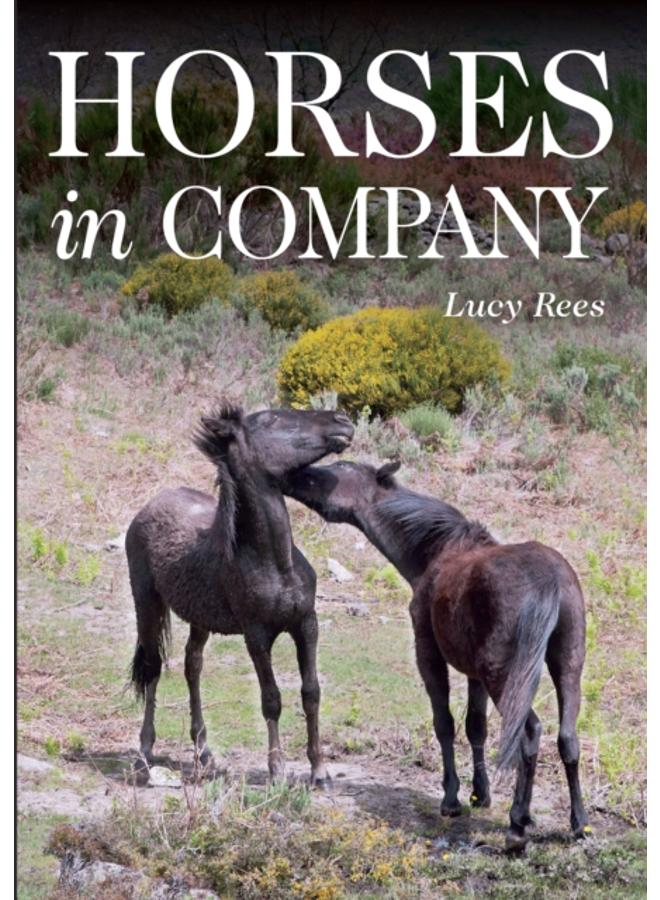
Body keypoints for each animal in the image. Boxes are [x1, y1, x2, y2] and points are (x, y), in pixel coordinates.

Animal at [126, 404, 354, 786]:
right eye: (273, 419)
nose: (343, 421)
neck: (275, 562)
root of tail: (151, 504)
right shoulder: (256, 636)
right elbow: (271, 698)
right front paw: (277, 770)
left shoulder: (307, 625)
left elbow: (311, 692)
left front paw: (319, 770)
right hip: (147, 604)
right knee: (153, 668)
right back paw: (144, 752)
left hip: (199, 619)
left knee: (192, 666)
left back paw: (203, 752)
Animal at [281, 459, 589, 849]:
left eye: (332, 472)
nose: (290, 475)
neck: (435, 552)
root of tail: (548, 579)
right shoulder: (474, 672)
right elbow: (476, 727)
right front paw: (480, 794)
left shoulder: (429, 654)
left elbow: (444, 723)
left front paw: (452, 798)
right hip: (566, 666)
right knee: (567, 738)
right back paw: (578, 823)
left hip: (505, 675)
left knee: (529, 732)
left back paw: (518, 824)